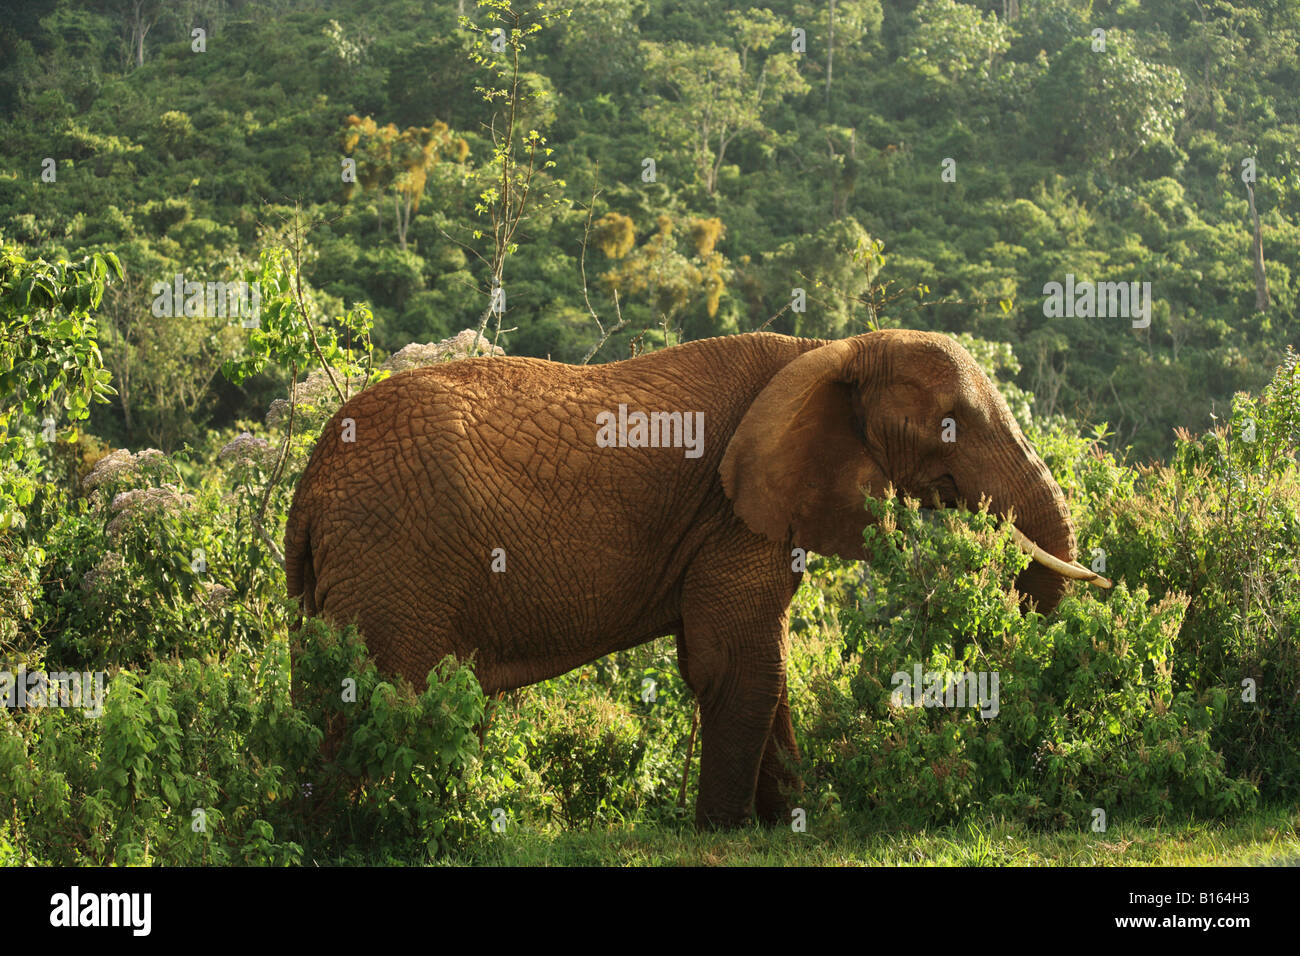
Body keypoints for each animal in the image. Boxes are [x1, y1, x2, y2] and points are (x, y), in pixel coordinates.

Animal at [284, 329, 1107, 832]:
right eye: (950, 424)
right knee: (377, 698)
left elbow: (759, 665)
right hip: (393, 557)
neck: (827, 351)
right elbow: (734, 661)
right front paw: (728, 831)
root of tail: (311, 481)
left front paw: (787, 825)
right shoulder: (733, 510)